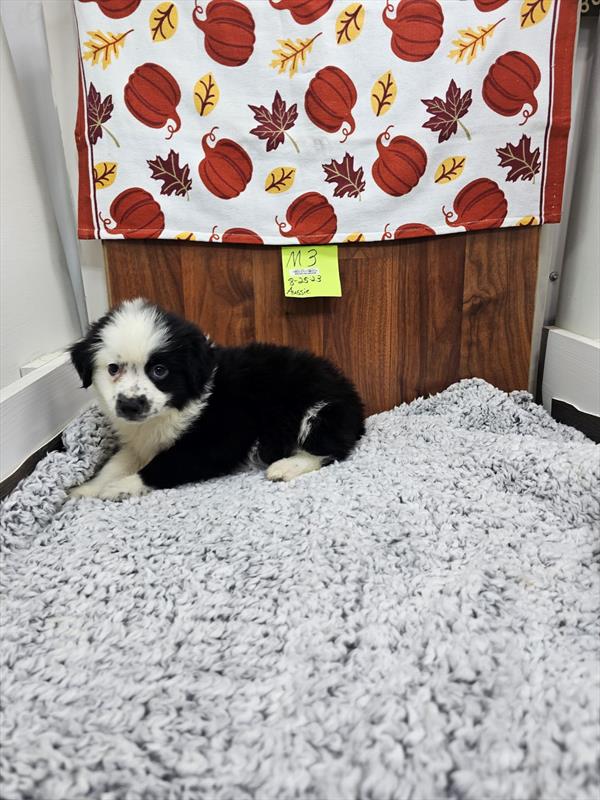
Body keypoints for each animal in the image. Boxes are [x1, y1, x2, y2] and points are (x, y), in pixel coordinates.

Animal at [68, 298, 364, 500]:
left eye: (159, 371)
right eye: (113, 369)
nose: (131, 405)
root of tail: (353, 397)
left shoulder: (217, 439)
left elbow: (166, 464)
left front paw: (121, 487)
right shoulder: (140, 441)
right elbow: (116, 463)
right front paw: (88, 488)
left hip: (318, 410)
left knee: (331, 449)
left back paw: (285, 467)